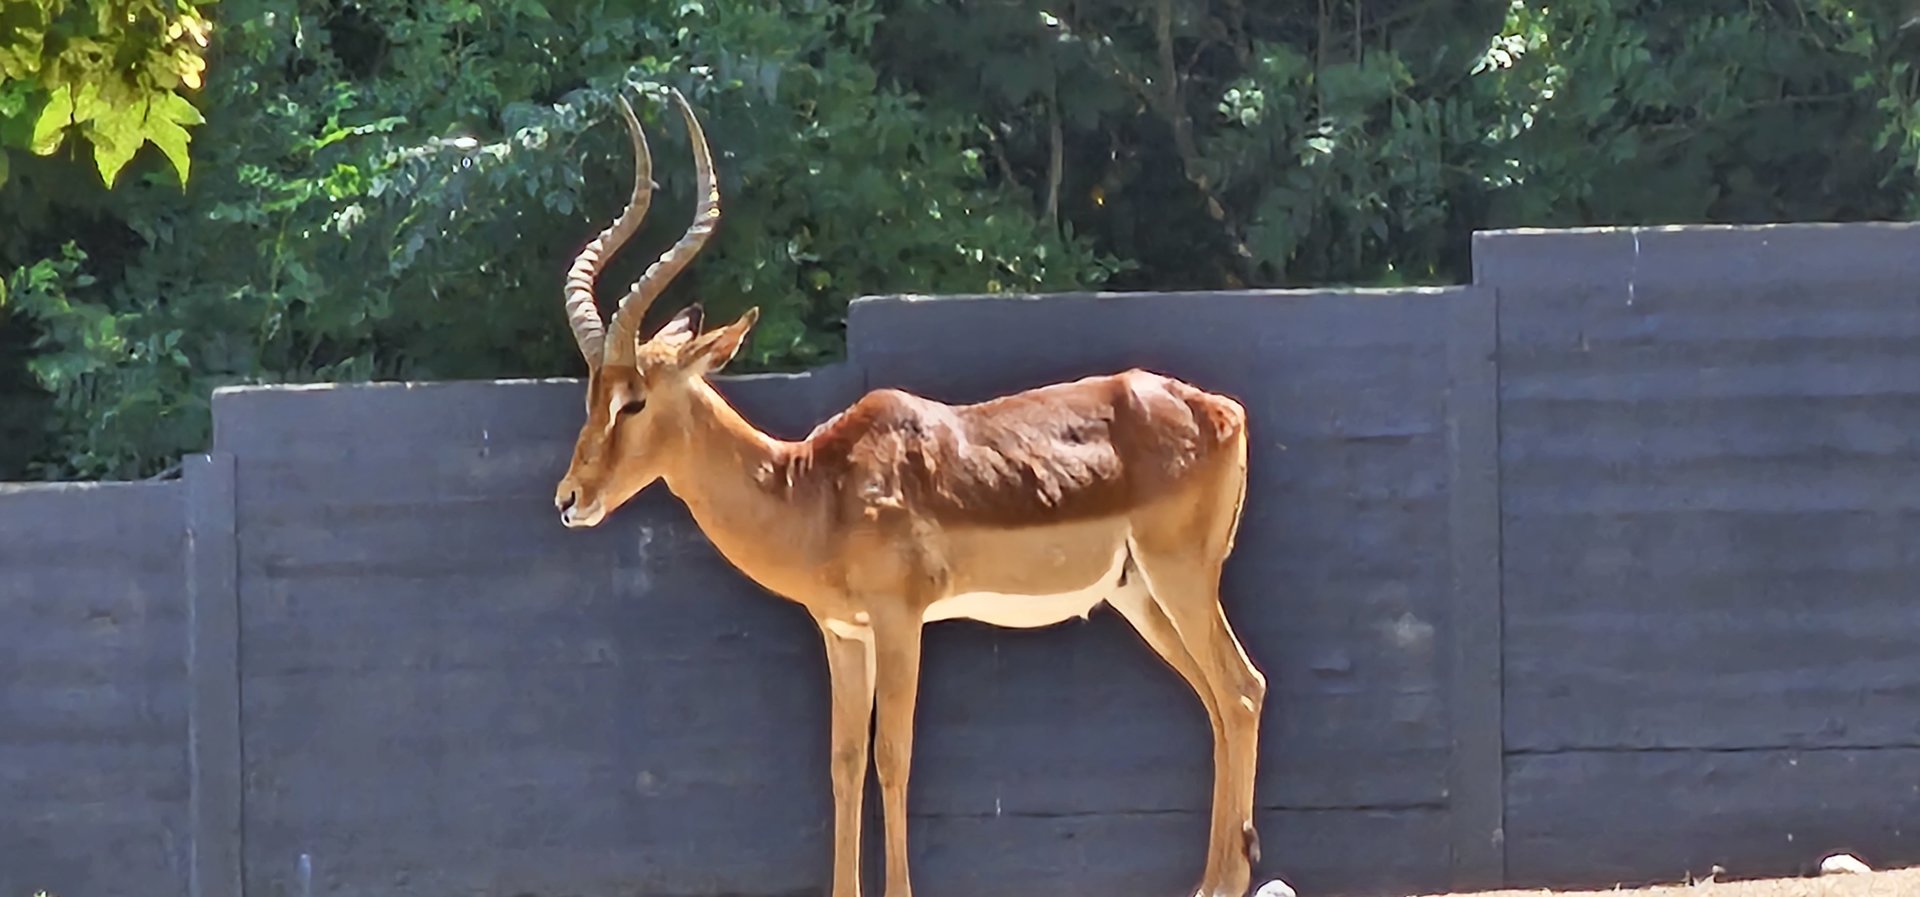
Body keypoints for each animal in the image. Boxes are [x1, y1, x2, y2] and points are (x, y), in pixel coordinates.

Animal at [553, 86, 1271, 897]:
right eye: (592, 394)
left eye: (636, 400)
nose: (571, 498)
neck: (816, 487)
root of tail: (1219, 409)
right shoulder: (842, 632)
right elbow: (842, 764)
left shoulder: (902, 620)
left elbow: (892, 755)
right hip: (1138, 594)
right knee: (1217, 702)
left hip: (1180, 578)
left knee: (1241, 690)